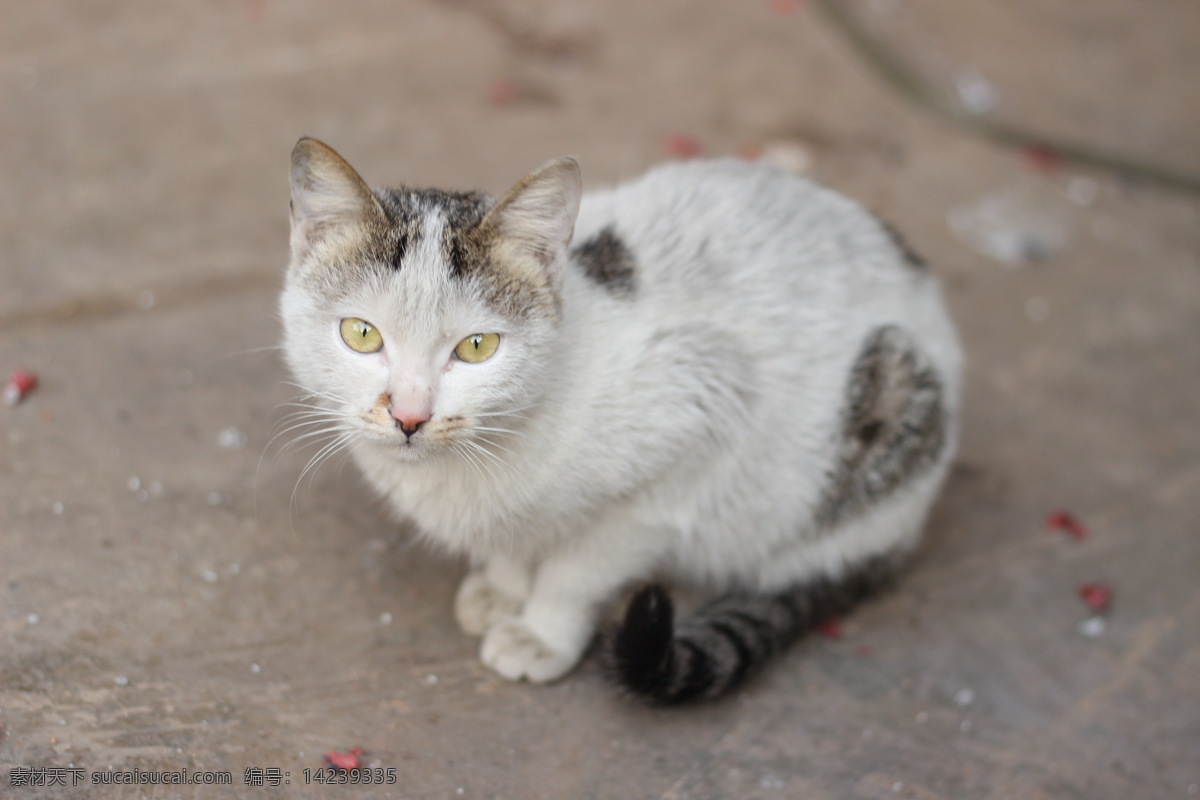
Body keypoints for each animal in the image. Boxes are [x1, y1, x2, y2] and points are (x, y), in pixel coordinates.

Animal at [276, 140, 960, 705]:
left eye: (476, 347)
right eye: (362, 335)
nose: (410, 414)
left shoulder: (698, 410)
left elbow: (577, 572)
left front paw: (541, 632)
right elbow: (511, 545)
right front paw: (503, 584)